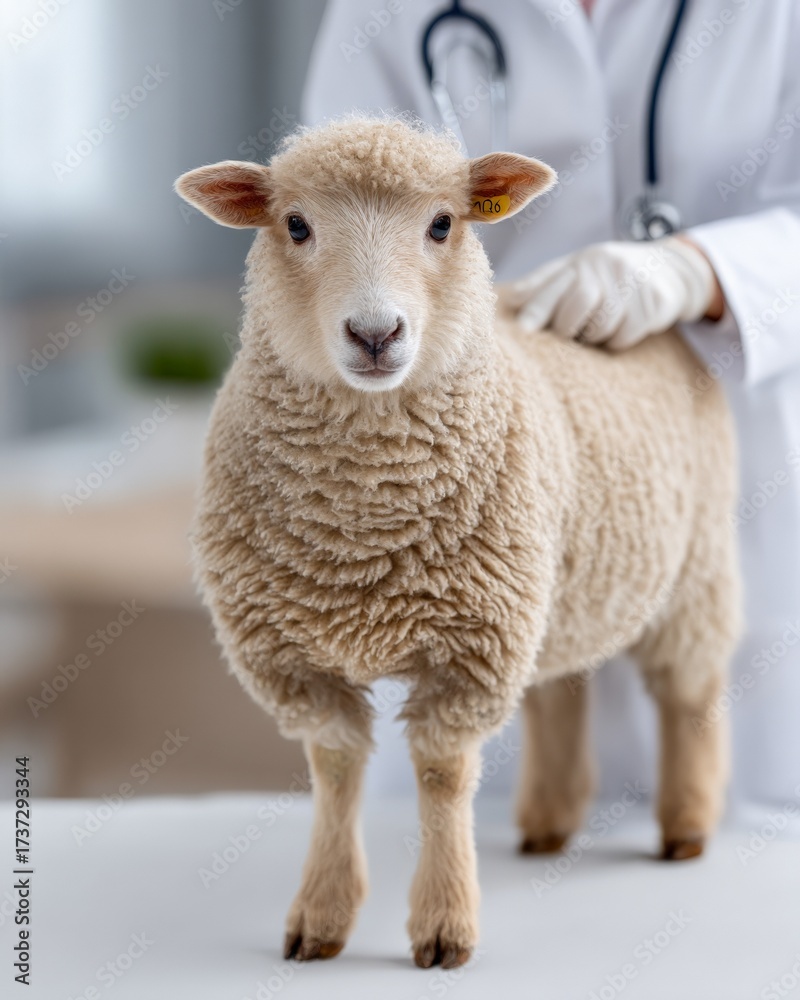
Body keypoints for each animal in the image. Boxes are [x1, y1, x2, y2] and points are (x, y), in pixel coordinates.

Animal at [175, 116, 741, 970]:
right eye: (296, 226)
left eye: (443, 224)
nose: (376, 333)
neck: (364, 528)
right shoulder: (295, 658)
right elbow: (335, 772)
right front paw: (321, 917)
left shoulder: (470, 649)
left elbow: (443, 778)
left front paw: (444, 926)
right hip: (551, 587)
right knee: (559, 689)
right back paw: (548, 823)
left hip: (696, 569)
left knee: (689, 696)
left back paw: (686, 829)